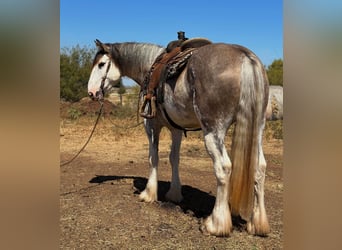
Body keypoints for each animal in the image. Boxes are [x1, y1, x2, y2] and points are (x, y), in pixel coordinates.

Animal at [87, 39, 270, 236]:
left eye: (101, 64)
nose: (91, 92)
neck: (149, 66)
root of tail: (245, 57)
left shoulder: (151, 125)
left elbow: (153, 158)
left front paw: (148, 193)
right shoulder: (175, 129)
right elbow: (174, 158)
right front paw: (174, 194)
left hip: (213, 131)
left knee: (223, 168)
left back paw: (216, 224)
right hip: (258, 129)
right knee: (260, 167)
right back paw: (257, 223)